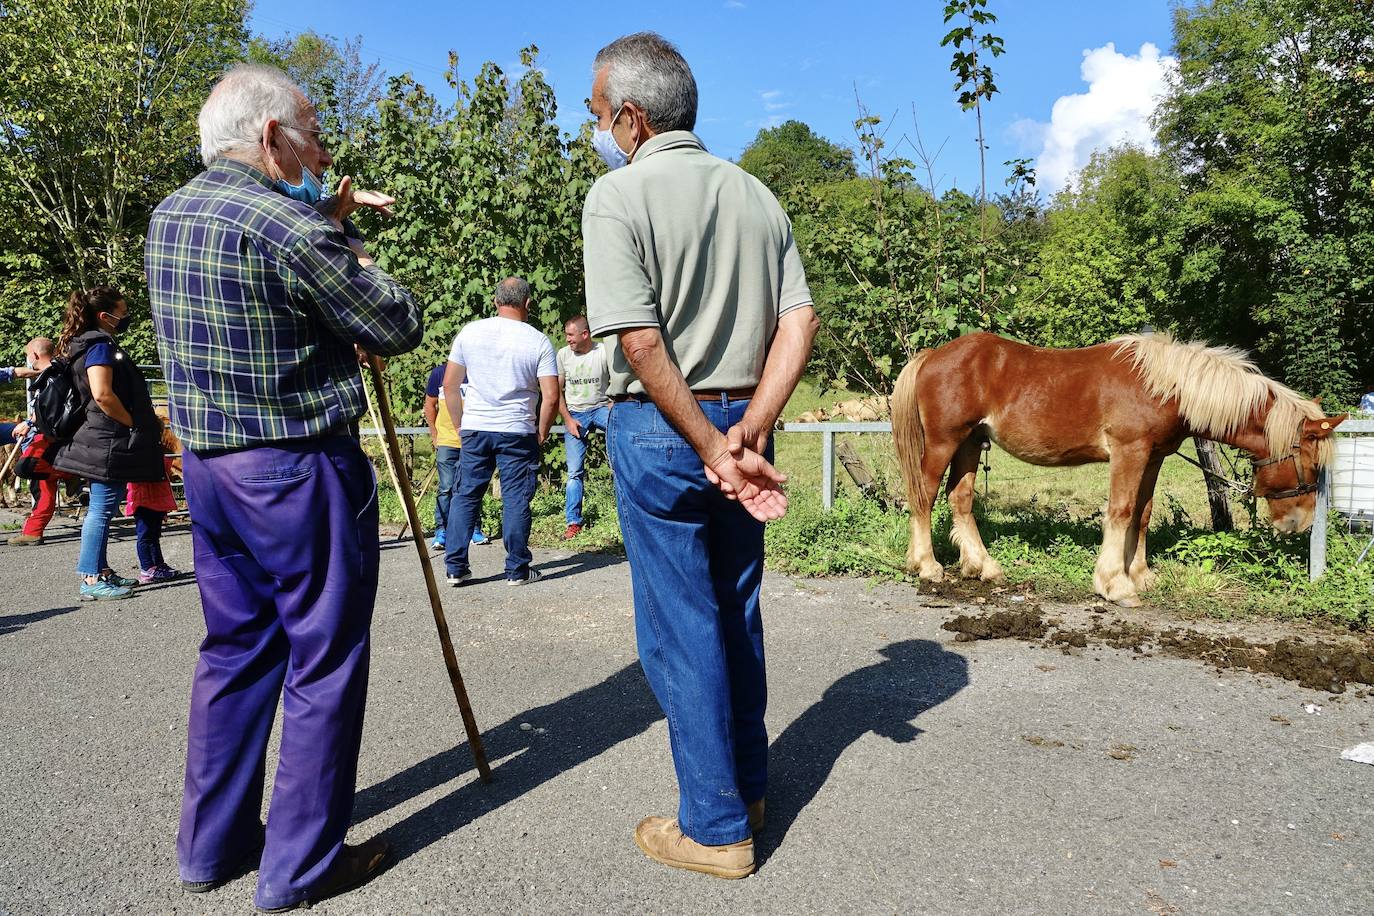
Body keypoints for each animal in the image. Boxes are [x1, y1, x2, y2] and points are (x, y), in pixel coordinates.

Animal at [884, 333, 1346, 604]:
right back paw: (927, 566)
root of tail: (933, 355)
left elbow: (1141, 514)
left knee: (960, 499)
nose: (1299, 525)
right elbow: (1121, 512)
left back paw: (983, 567)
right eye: (1310, 462)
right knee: (923, 496)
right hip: (943, 442)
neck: (1166, 386)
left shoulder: (1154, 457)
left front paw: (1139, 575)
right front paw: (1115, 584)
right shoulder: (1129, 451)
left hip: (970, 443)